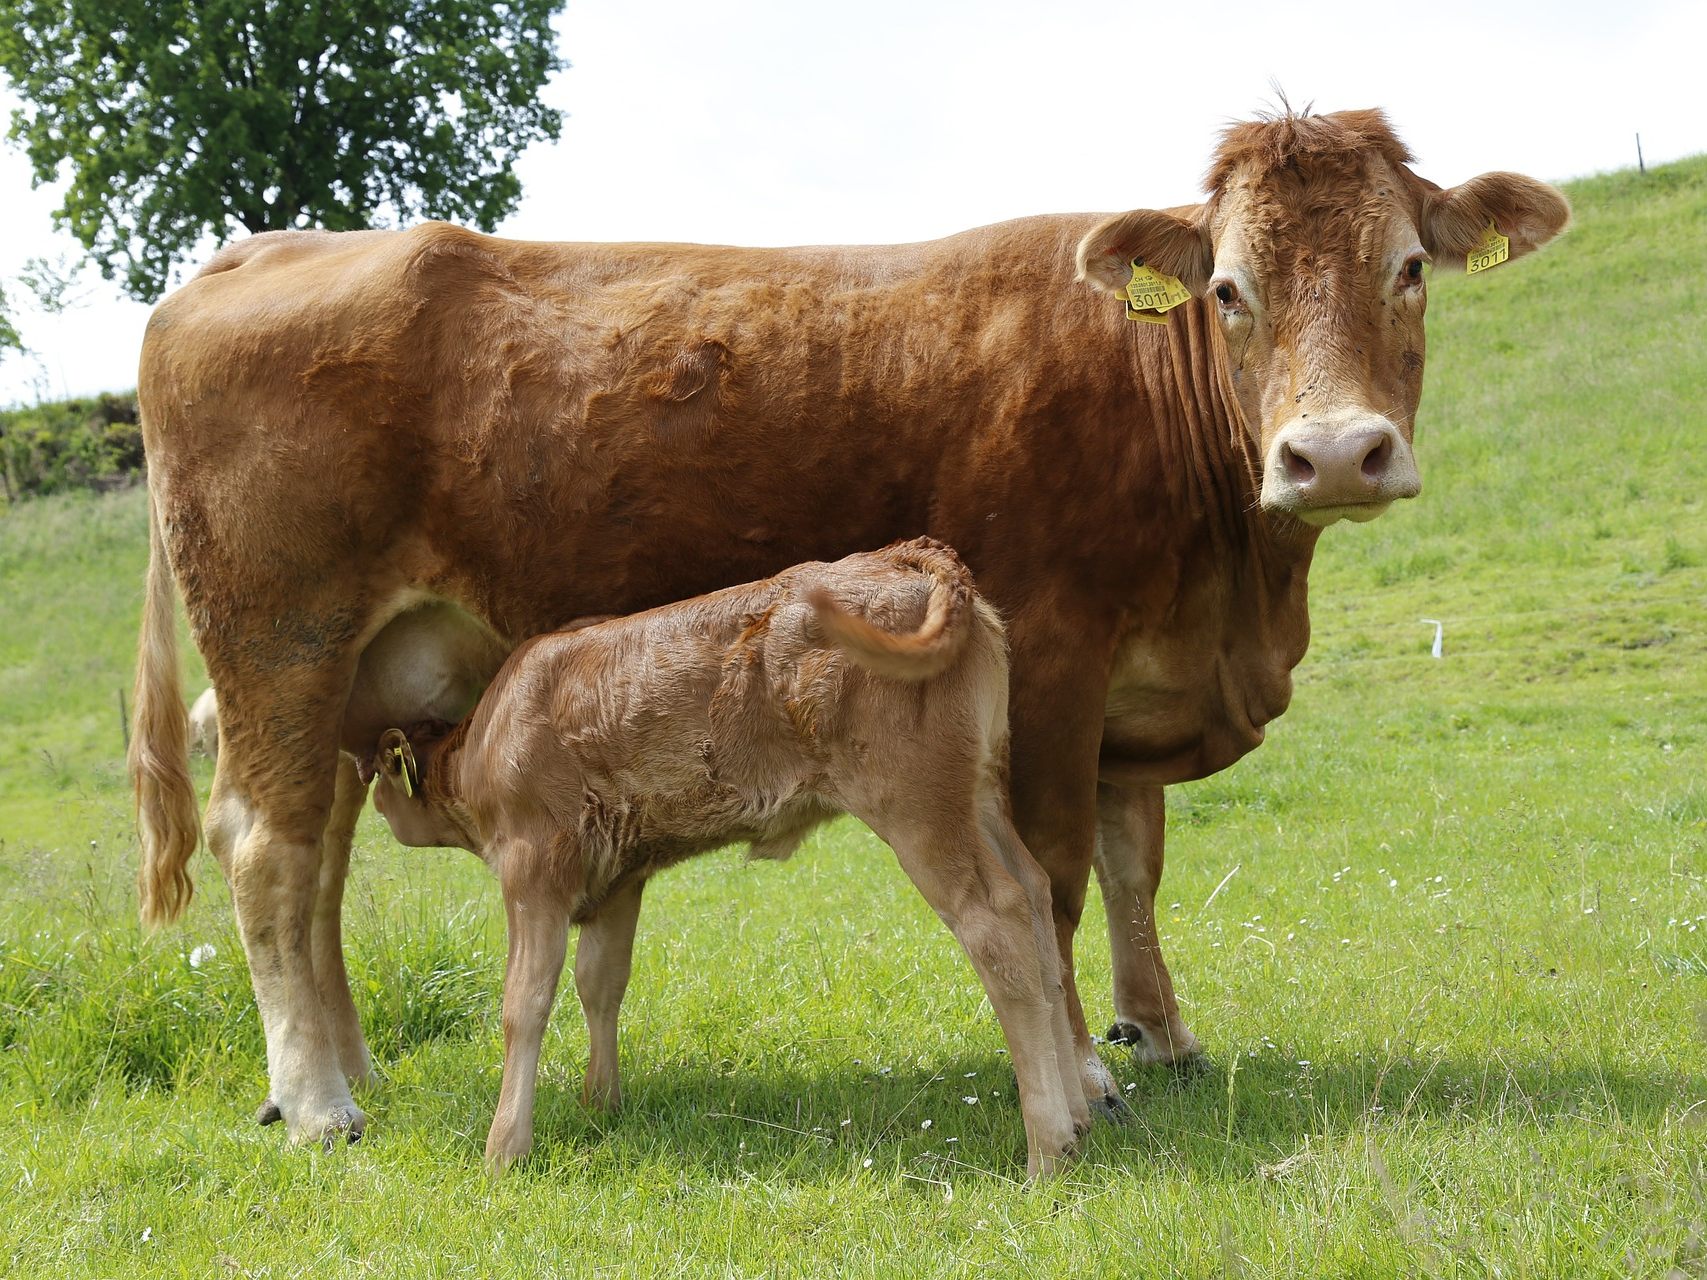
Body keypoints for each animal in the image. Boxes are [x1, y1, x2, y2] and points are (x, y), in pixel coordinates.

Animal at [365, 535, 1078, 1181]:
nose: (371, 791)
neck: (486, 738)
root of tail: (912, 557)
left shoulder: (532, 869)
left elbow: (524, 1002)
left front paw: (504, 1149)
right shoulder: (618, 879)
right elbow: (601, 983)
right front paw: (601, 1103)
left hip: (918, 806)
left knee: (995, 924)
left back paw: (1046, 1148)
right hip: (980, 793)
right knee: (1036, 898)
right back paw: (1078, 1120)